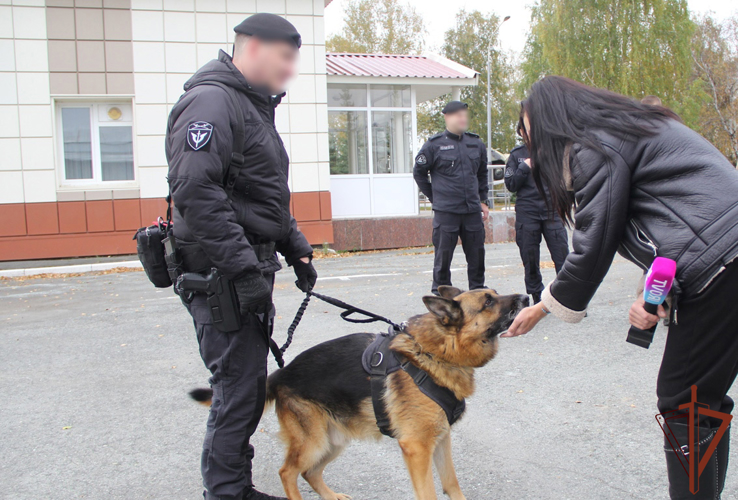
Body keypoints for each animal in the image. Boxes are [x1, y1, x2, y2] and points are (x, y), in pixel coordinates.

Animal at [190, 288, 524, 498]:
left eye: (494, 295)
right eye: (488, 302)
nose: (525, 296)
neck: (433, 352)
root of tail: (281, 373)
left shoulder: (441, 440)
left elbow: (452, 485)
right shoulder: (417, 448)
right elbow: (429, 493)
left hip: (333, 441)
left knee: (309, 473)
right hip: (314, 442)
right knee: (287, 472)